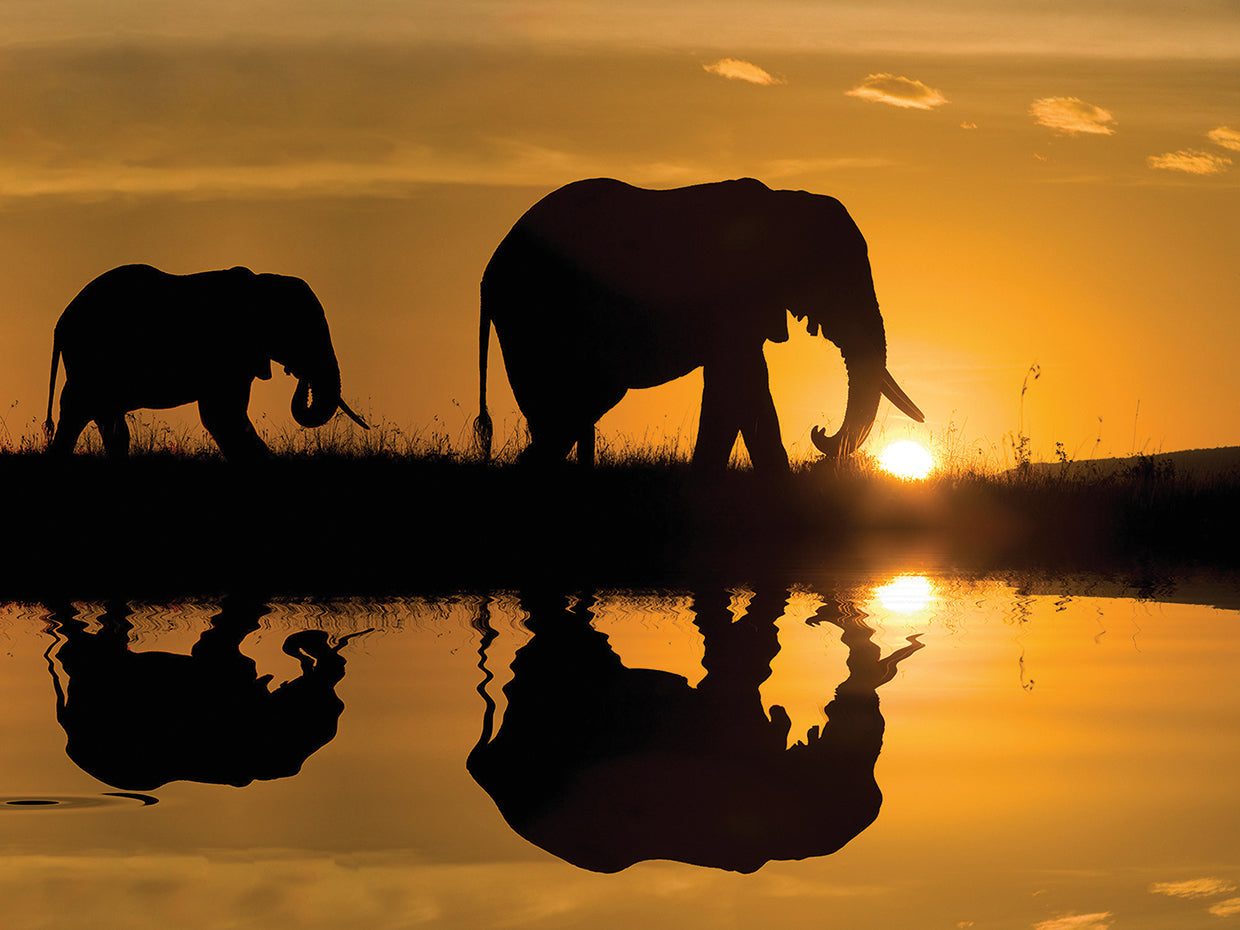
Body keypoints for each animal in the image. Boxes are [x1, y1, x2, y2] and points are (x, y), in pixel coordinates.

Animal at [44, 263, 369, 461]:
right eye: (300, 331)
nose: (300, 375)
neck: (260, 284)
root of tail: (60, 322)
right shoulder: (228, 352)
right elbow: (223, 416)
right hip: (91, 360)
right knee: (81, 410)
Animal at [475, 177, 924, 471]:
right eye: (834, 283)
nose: (819, 431)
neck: (783, 203)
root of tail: (488, 272)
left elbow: (741, 387)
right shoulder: (731, 299)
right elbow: (741, 383)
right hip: (531, 316)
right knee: (562, 408)